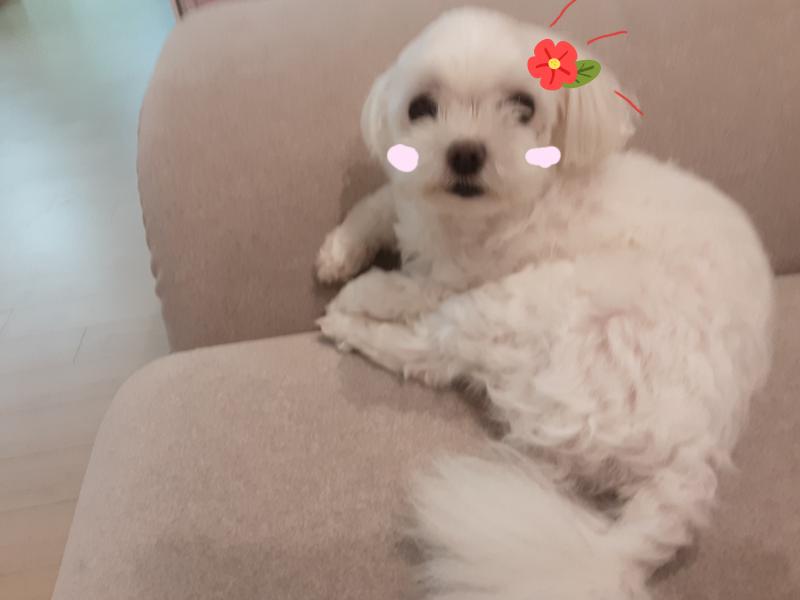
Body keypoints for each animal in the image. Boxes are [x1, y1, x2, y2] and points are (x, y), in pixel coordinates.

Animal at [316, 7, 774, 599]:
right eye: (420, 108)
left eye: (523, 106)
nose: (465, 151)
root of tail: (694, 456)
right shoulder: (409, 202)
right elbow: (379, 203)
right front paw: (337, 253)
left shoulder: (453, 280)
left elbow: (400, 288)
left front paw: (356, 290)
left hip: (529, 306)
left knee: (429, 354)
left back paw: (345, 324)